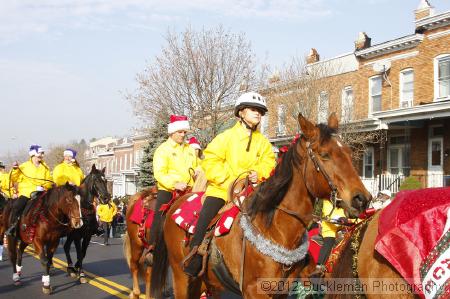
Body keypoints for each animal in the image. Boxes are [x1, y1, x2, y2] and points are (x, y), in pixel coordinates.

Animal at [149, 113, 370, 299]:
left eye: (349, 152)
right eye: (324, 154)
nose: (362, 199)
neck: (276, 230)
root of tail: (176, 201)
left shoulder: (281, 292)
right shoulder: (254, 291)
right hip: (181, 277)